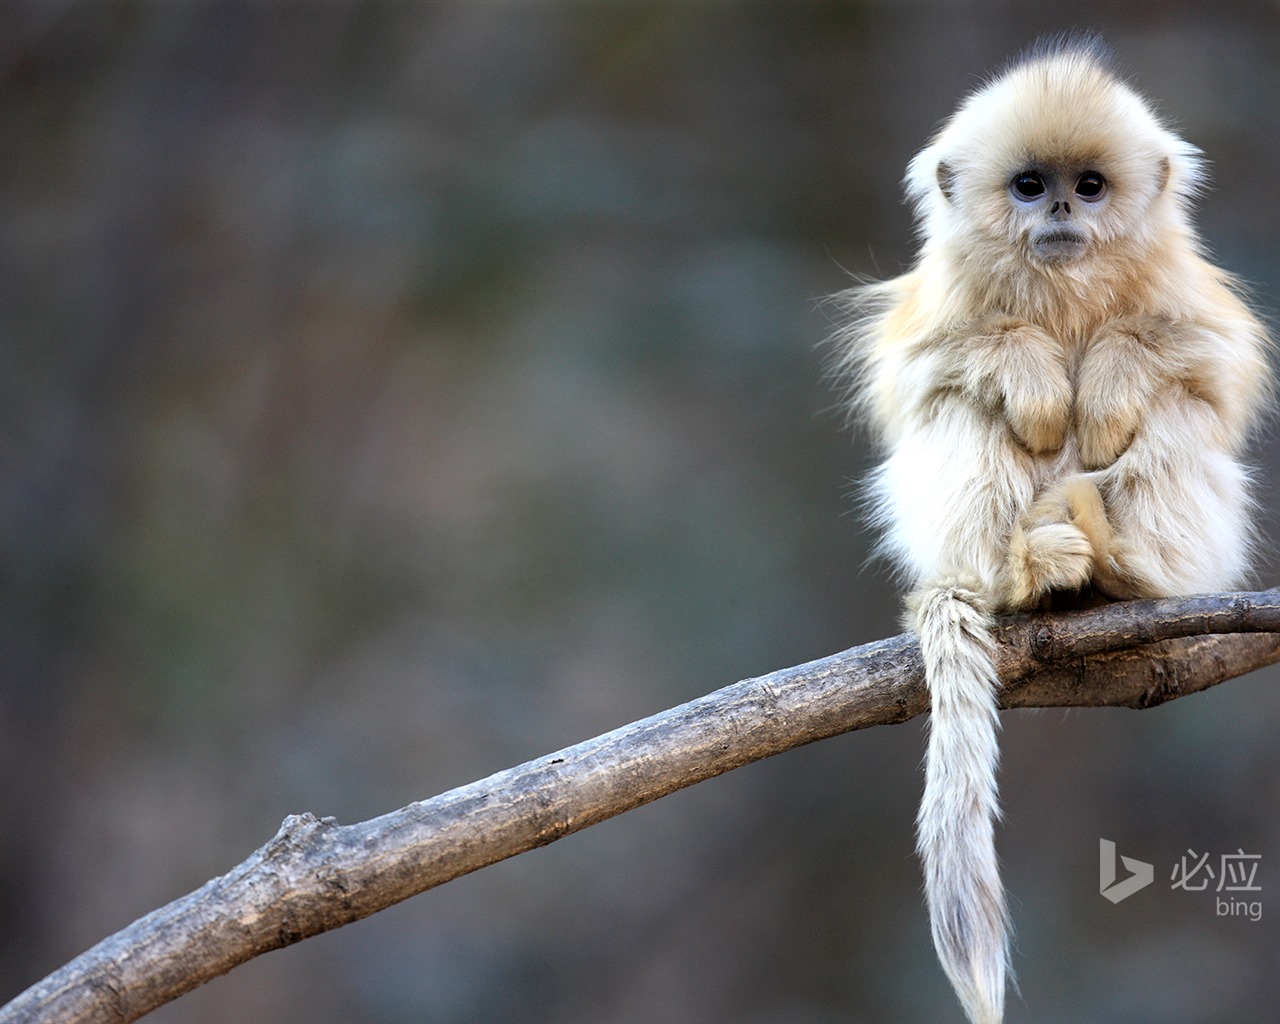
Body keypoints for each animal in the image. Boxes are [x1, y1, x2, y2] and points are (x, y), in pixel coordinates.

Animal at [834, 36, 1264, 1024]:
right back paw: (1028, 572)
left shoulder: (1190, 297)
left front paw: (1103, 386)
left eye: (1090, 187)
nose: (1063, 208)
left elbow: (1210, 368)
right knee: (962, 411)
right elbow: (924, 374)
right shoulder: (937, 310)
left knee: (1177, 414)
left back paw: (1118, 564)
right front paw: (1032, 375)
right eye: (1030, 185)